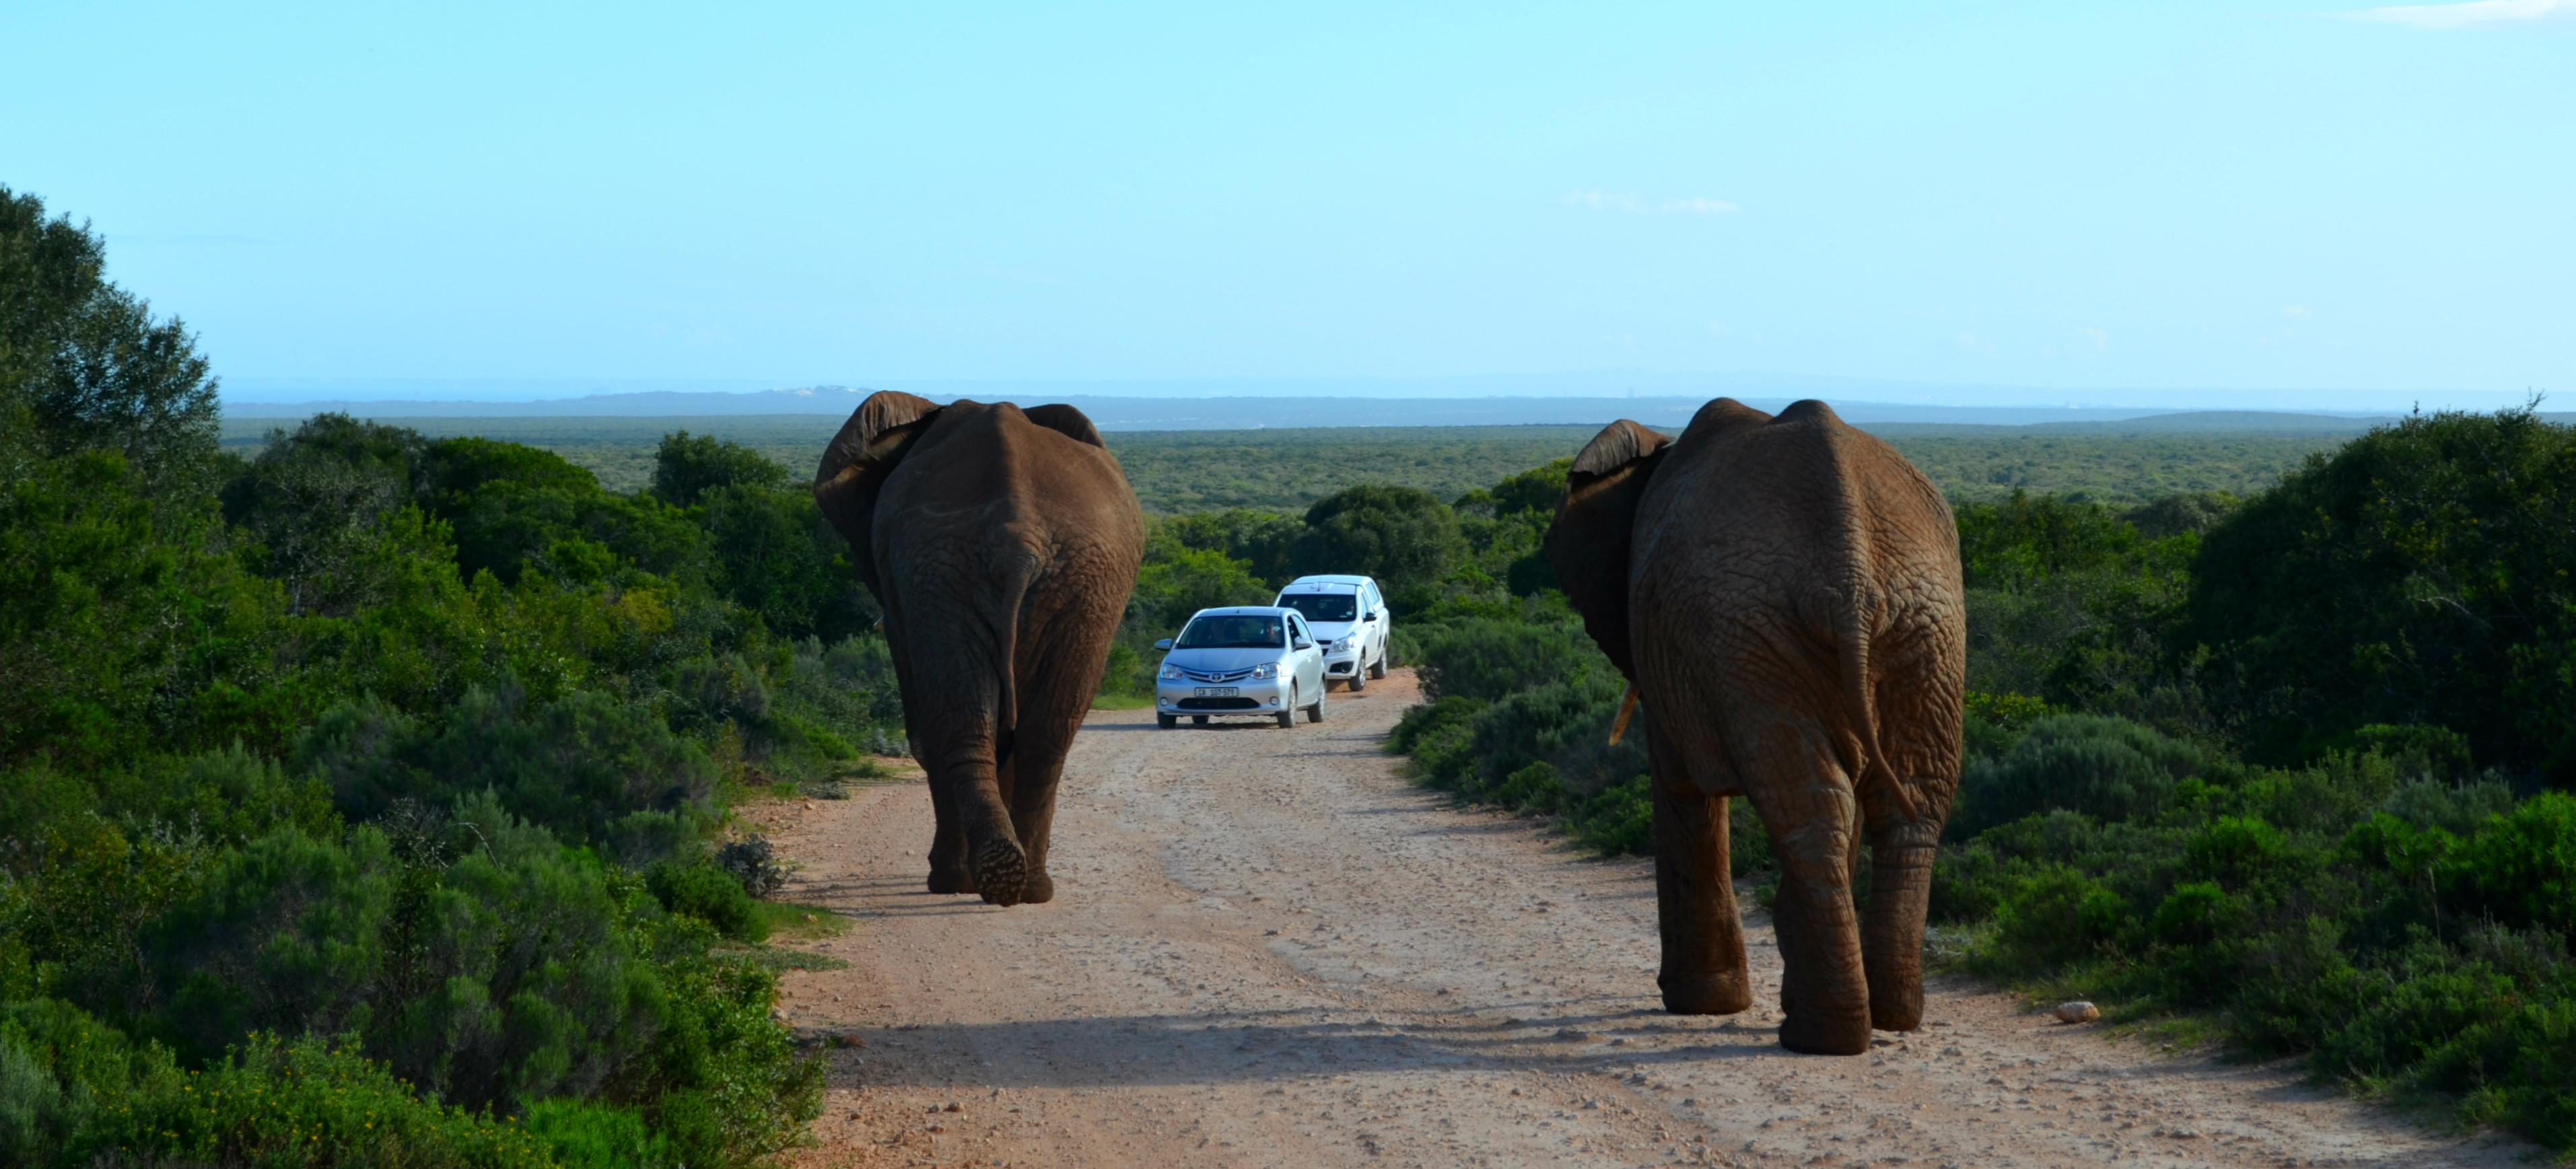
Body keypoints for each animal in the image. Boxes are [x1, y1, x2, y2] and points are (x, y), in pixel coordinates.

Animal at [808, 391, 1144, 906]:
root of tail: (1017, 539)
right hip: (1062, 580)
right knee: (1040, 733)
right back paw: (1018, 883)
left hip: (980, 571)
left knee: (963, 722)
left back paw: (973, 881)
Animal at [1535, 396, 1957, 1055]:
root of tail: (1851, 568)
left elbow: (1679, 785)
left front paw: (1700, 1005)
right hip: (1910, 623)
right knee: (1899, 800)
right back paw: (1879, 1018)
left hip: (1779, 629)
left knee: (1816, 803)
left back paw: (1821, 1033)